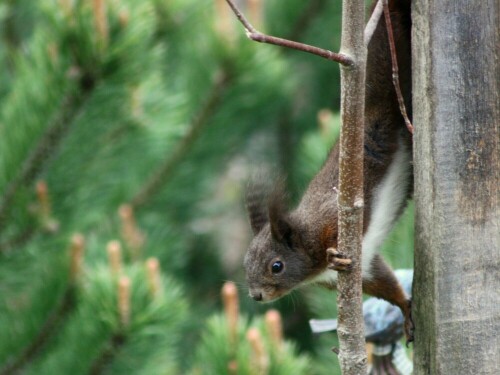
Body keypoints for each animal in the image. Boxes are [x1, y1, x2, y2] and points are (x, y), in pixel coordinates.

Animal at [243, 0, 414, 340]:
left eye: (277, 266)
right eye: (245, 264)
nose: (256, 295)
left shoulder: (331, 219)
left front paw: (336, 255)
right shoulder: (363, 270)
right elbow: (384, 282)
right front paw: (404, 306)